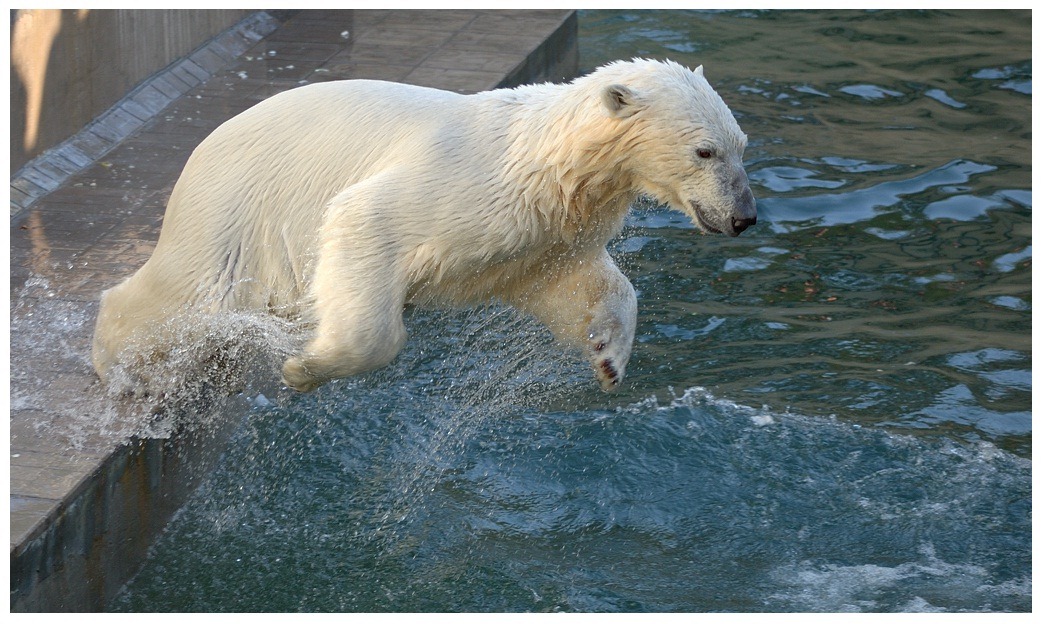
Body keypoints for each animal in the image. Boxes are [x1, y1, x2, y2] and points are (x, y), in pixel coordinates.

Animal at [91, 58, 760, 394]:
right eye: (705, 151)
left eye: (741, 146)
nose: (744, 217)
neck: (542, 159)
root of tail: (201, 148)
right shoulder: (462, 183)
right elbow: (365, 219)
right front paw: (304, 368)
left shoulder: (540, 233)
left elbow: (578, 282)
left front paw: (609, 357)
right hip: (235, 207)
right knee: (187, 288)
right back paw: (121, 369)